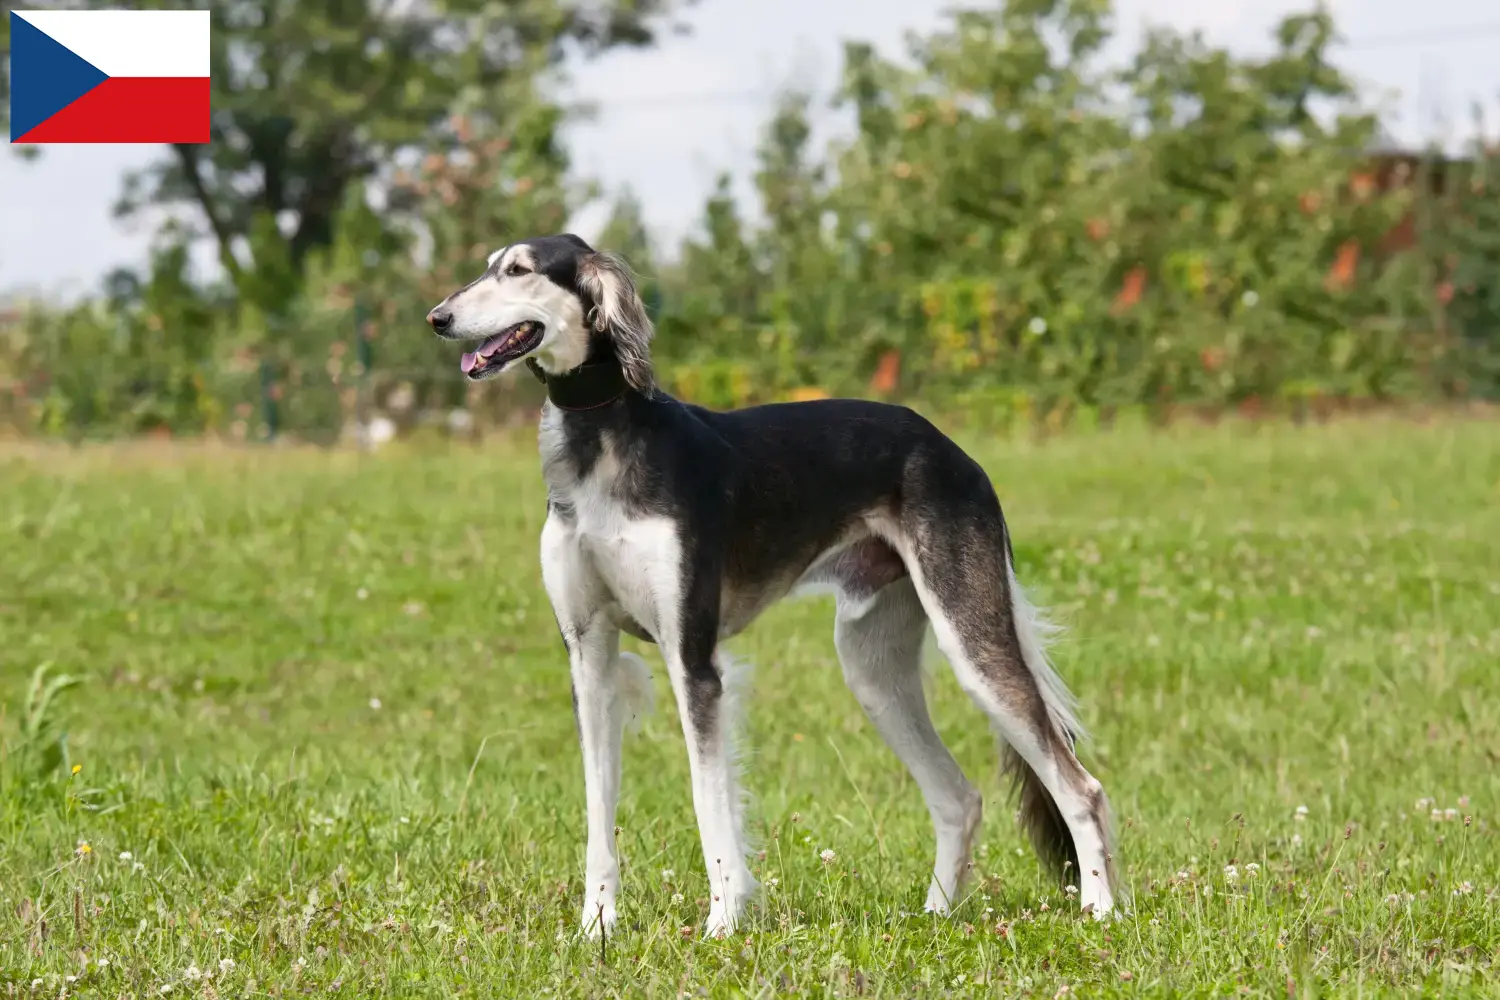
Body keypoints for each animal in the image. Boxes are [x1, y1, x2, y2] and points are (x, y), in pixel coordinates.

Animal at [429, 232, 1122, 941]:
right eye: (486, 267)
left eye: (519, 270)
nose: (438, 318)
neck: (602, 437)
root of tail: (952, 449)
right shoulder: (587, 655)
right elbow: (600, 814)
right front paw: (595, 928)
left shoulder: (693, 660)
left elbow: (710, 803)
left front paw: (722, 923)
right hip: (873, 672)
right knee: (960, 796)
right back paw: (933, 915)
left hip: (971, 640)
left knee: (1082, 789)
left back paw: (1099, 910)